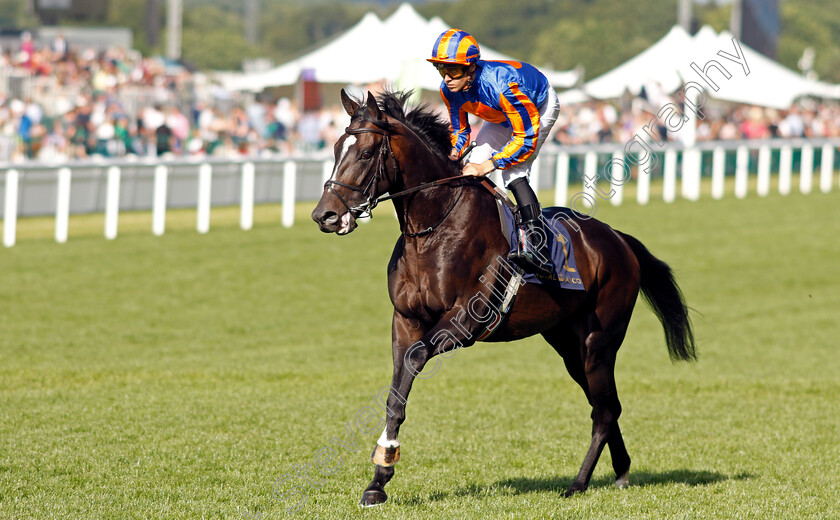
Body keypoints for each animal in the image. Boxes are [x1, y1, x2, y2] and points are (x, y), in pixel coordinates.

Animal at [310, 90, 696, 508]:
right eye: (335, 148)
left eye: (365, 153)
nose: (324, 215)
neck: (433, 228)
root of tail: (618, 239)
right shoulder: (405, 320)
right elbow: (397, 392)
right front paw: (379, 478)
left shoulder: (465, 321)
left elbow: (414, 359)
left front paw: (384, 463)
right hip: (567, 343)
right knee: (606, 403)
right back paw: (621, 470)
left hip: (599, 341)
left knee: (604, 411)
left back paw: (578, 483)